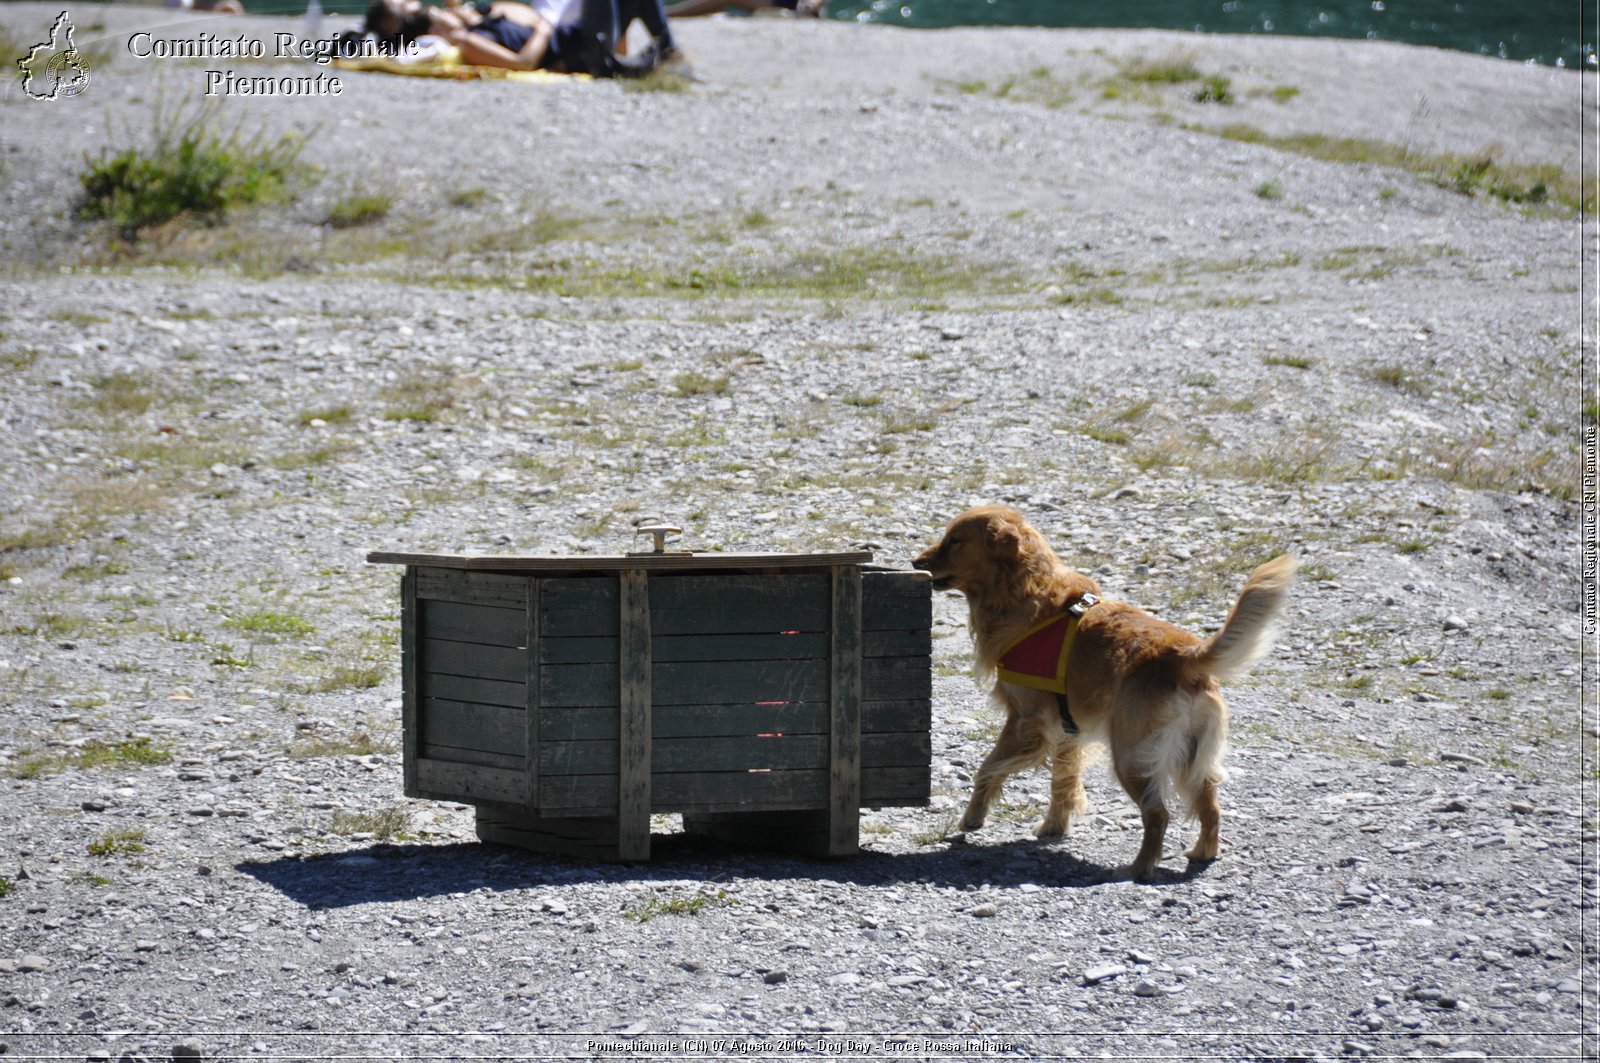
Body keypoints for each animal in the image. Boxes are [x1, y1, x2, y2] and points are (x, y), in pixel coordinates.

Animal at [921, 505, 1292, 877]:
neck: (1024, 590)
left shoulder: (1026, 720)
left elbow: (988, 767)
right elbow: (1063, 780)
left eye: (954, 541)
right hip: (1192, 752)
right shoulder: (1067, 727)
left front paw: (973, 818)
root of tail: (1184, 655)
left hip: (1131, 753)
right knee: (1210, 803)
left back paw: (1137, 869)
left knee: (1157, 813)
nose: (915, 561)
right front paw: (1054, 826)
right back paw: (1203, 851)